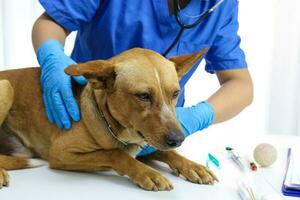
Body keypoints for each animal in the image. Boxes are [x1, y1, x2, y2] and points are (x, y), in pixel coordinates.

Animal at [0, 47, 216, 190]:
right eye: (143, 95)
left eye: (175, 93)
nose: (178, 140)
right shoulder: (61, 153)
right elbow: (115, 154)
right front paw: (148, 172)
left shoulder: (149, 143)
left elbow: (167, 153)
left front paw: (193, 166)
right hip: (6, 86)